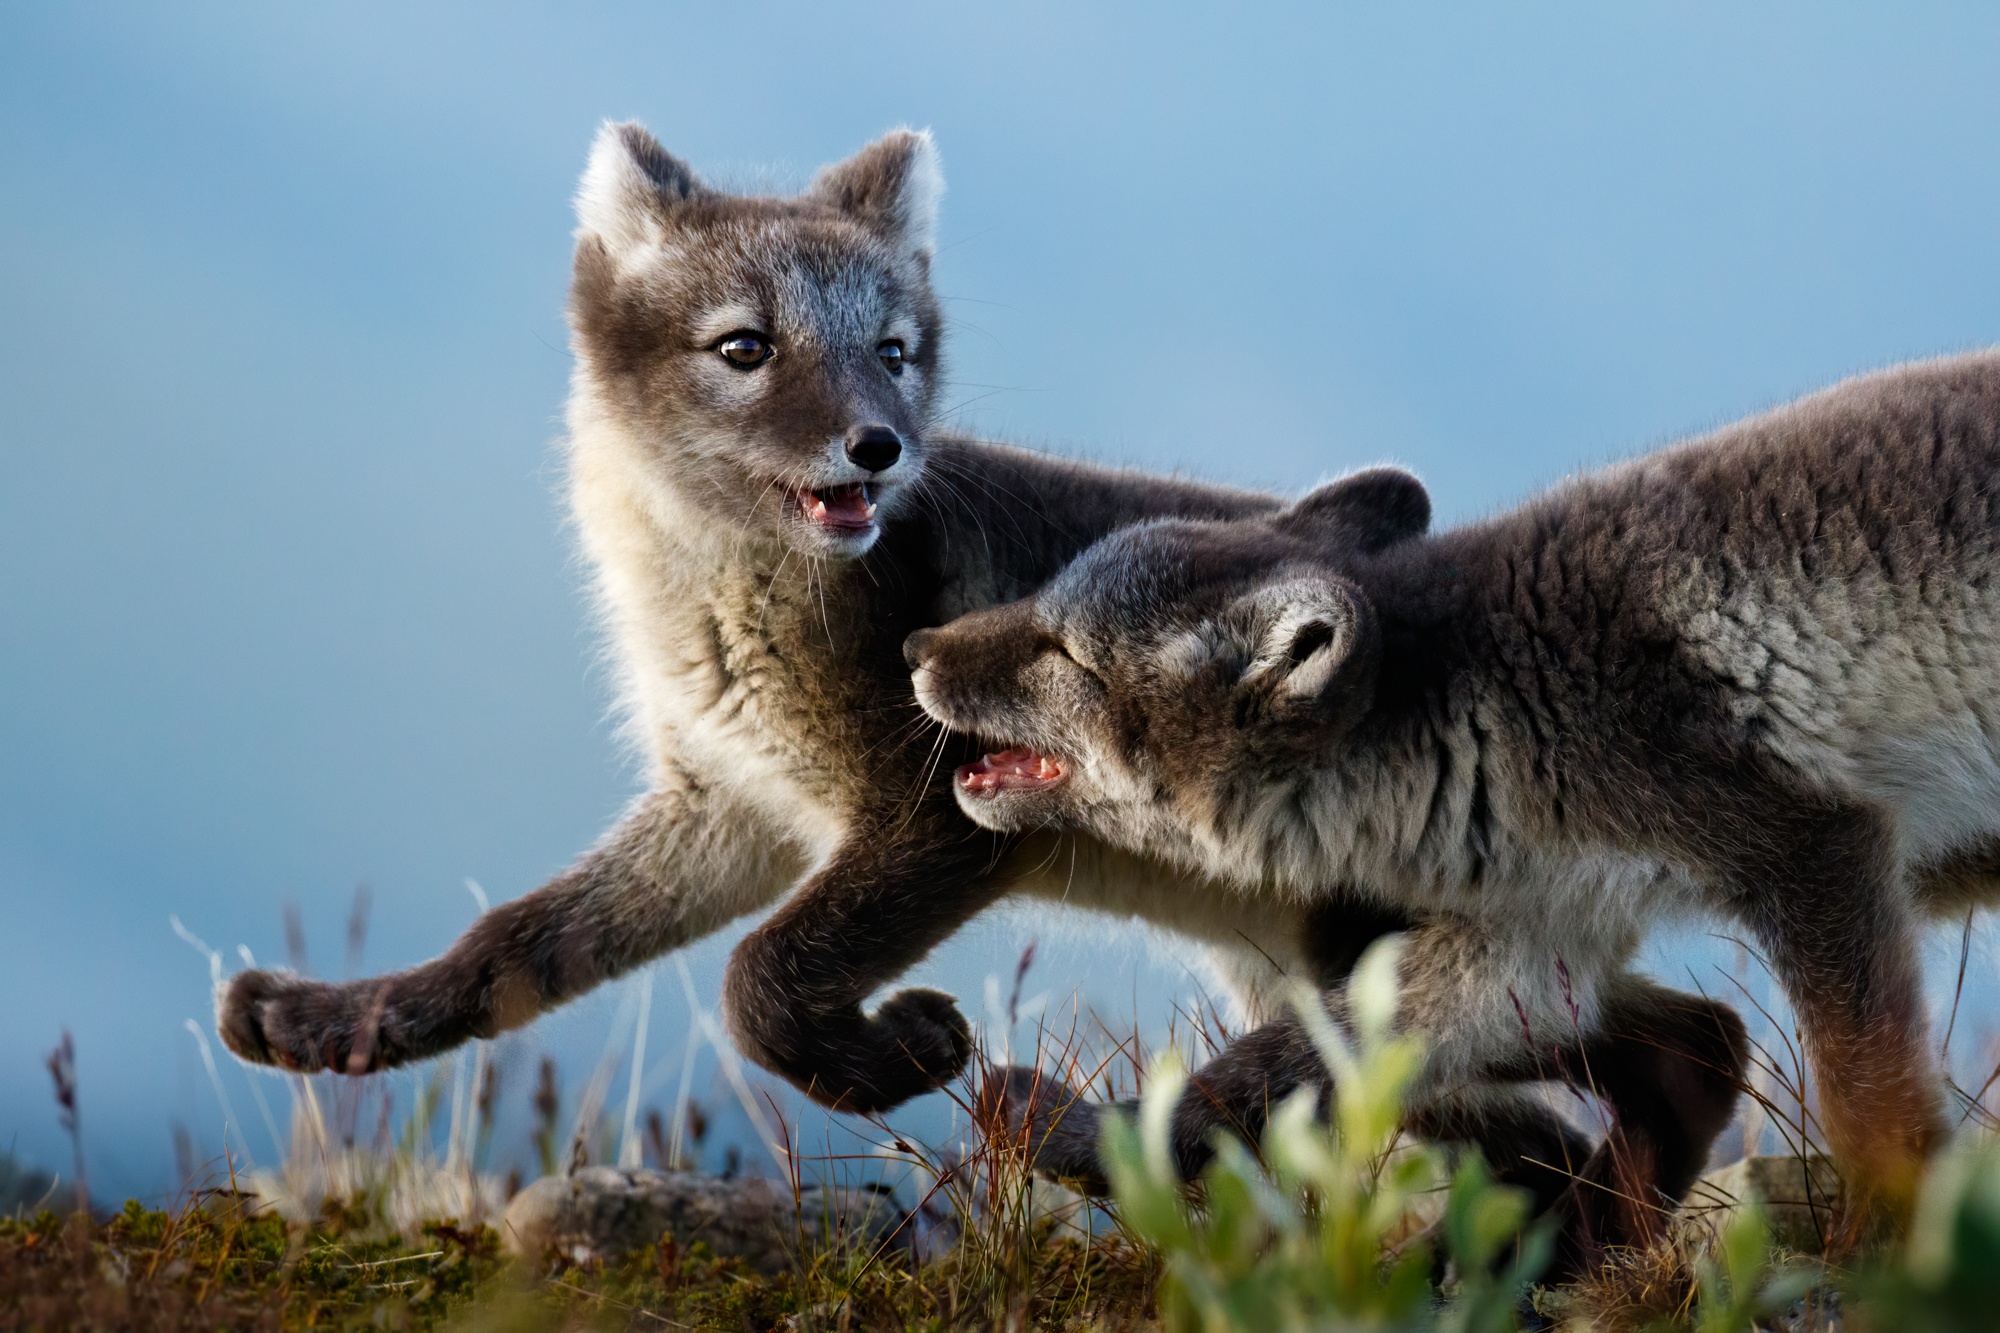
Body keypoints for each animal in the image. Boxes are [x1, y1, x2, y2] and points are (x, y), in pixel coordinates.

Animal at [912, 356, 2000, 1216]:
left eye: (1067, 654)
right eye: (1041, 602)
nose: (914, 646)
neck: (1501, 696)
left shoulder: (1809, 848)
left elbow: (1879, 1124)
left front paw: (1901, 1262)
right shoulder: (1529, 936)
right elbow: (1288, 1056)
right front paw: (1083, 1137)